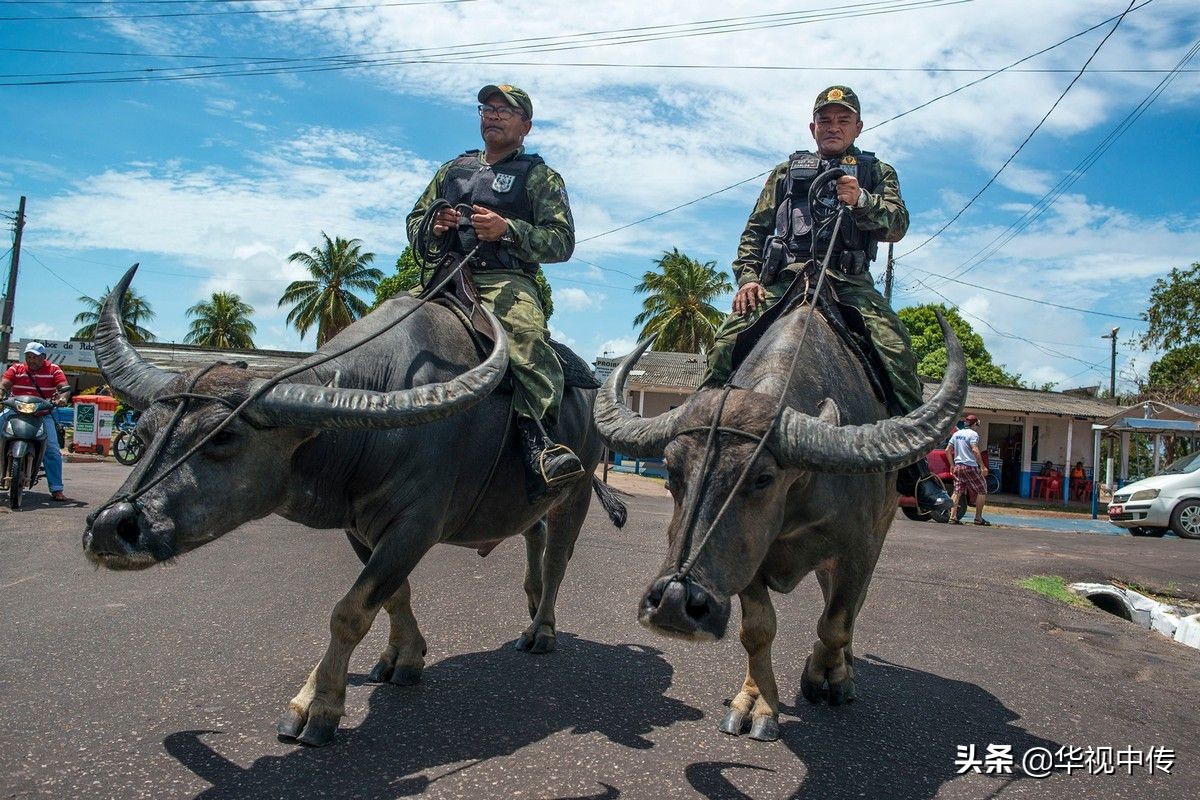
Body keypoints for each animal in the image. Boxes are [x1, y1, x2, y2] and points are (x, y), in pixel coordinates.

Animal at [84, 266, 628, 748]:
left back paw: (541, 629)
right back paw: (532, 602)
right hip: (528, 499)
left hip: (578, 490)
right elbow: (393, 594)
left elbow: (349, 611)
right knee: (533, 534)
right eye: (144, 432)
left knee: (557, 558)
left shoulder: (415, 527)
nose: (112, 526)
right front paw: (404, 658)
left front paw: (314, 706)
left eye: (225, 437)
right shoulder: (359, 526)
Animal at [592, 303, 964, 743]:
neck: (800, 492)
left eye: (763, 477)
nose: (673, 601)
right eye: (671, 471)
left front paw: (828, 678)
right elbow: (757, 630)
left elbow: (836, 622)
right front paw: (756, 702)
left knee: (849, 609)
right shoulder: (746, 559)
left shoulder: (860, 548)